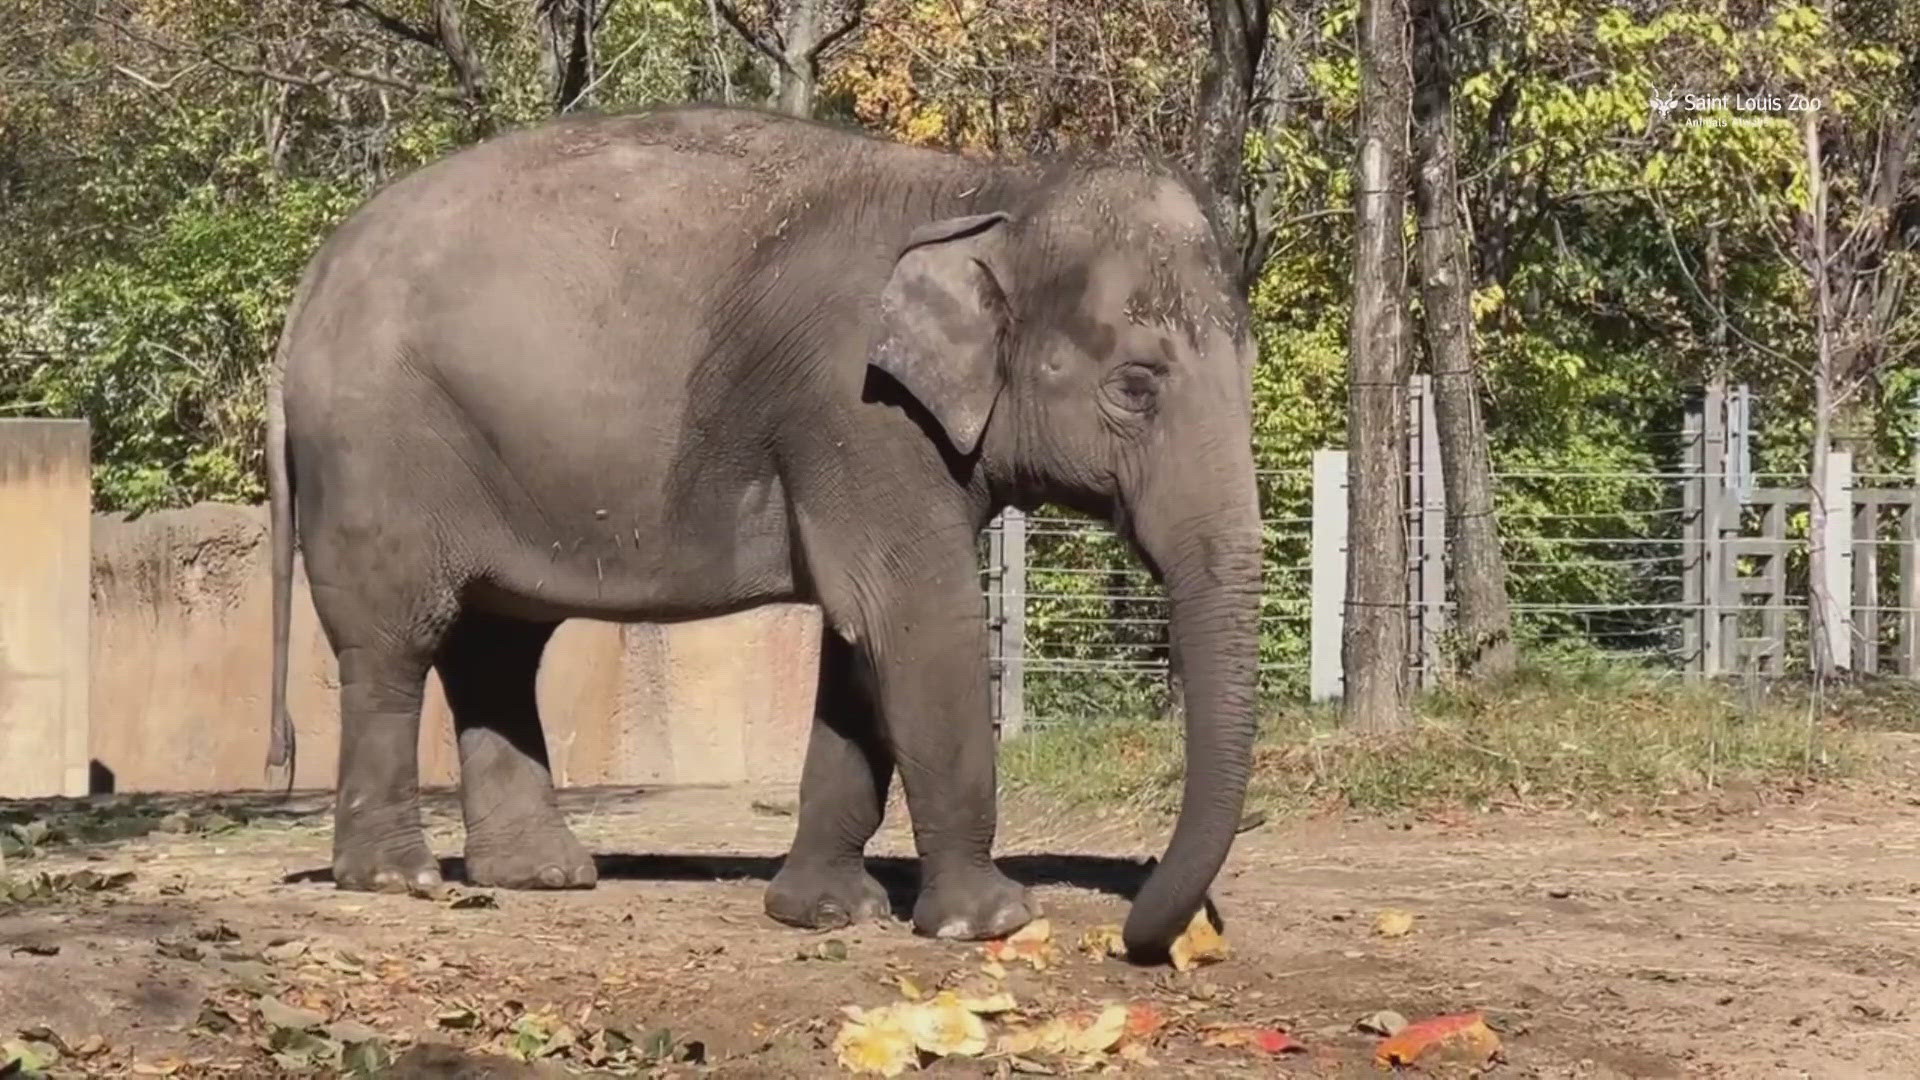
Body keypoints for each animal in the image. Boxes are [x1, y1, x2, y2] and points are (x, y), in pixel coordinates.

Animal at [263, 100, 1267, 949]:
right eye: (1135, 387)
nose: (1141, 934)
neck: (995, 191)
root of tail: (306, 291)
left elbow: (859, 648)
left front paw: (823, 912)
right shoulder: (853, 408)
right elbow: (916, 620)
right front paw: (990, 926)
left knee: (498, 646)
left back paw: (540, 877)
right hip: (378, 452)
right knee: (399, 639)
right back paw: (399, 880)